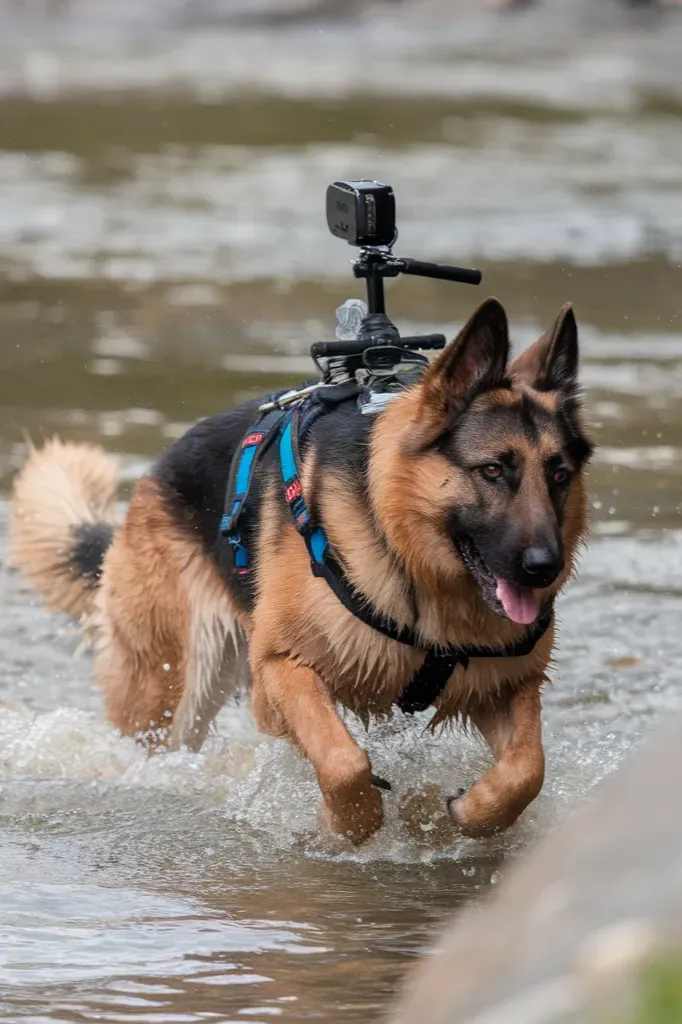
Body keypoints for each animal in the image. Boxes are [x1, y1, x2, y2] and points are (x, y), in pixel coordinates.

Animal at [7, 299, 589, 843]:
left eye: (559, 475)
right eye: (492, 470)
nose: (545, 568)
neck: (406, 554)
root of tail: (153, 477)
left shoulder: (508, 685)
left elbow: (528, 770)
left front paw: (474, 813)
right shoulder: (282, 669)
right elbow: (343, 759)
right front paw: (348, 824)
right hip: (172, 688)